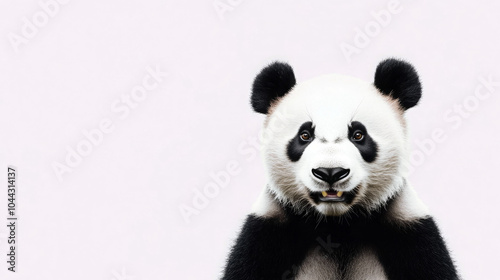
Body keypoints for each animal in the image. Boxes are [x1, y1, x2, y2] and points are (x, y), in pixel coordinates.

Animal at [223, 58, 460, 278]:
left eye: (358, 135)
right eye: (304, 135)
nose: (330, 173)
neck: (337, 226)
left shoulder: (410, 232)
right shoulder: (268, 233)